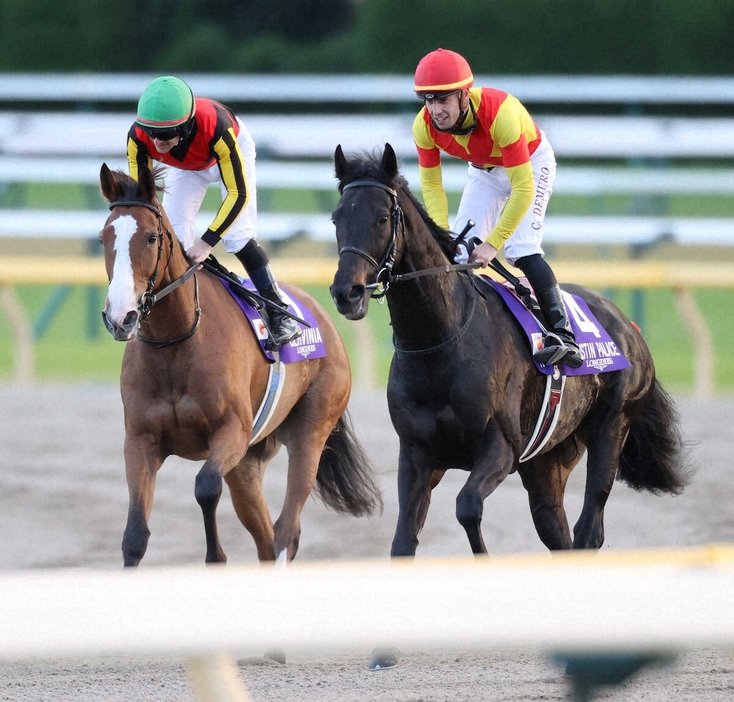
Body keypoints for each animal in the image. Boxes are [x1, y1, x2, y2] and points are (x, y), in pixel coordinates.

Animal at [100, 162, 382, 568]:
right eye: (104, 237)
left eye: (152, 238)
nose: (120, 317)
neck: (176, 343)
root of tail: (323, 318)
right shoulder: (140, 440)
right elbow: (135, 536)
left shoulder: (230, 431)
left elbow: (205, 487)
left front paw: (214, 554)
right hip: (248, 463)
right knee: (267, 538)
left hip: (311, 431)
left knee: (285, 531)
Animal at [330, 144, 688, 560]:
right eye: (337, 217)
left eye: (383, 218)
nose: (347, 292)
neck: (441, 342)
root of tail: (627, 326)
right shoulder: (417, 454)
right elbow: (403, 542)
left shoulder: (501, 447)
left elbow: (467, 507)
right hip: (547, 463)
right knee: (558, 531)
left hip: (611, 427)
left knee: (589, 528)